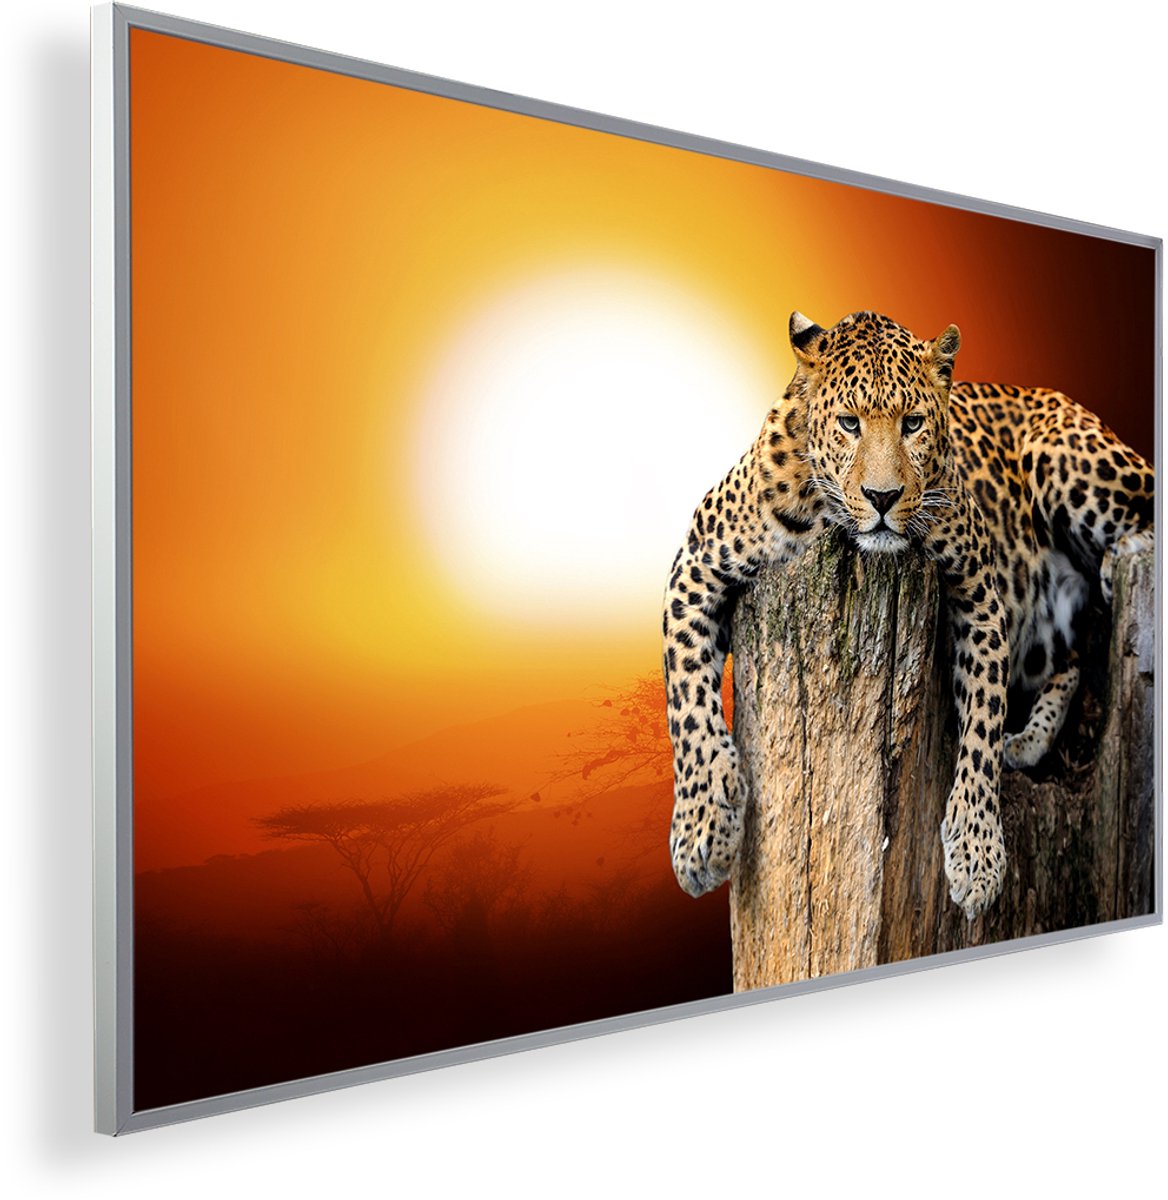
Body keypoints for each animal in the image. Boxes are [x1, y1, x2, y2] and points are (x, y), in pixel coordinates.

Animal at [663, 310, 1154, 920]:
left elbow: (982, 718)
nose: (882, 497)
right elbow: (687, 702)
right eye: (849, 423)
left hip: (1067, 458)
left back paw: (1122, 559)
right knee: (1072, 655)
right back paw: (1029, 739)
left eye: (914, 423)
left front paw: (976, 853)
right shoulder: (697, 564)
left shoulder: (979, 588)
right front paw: (702, 831)